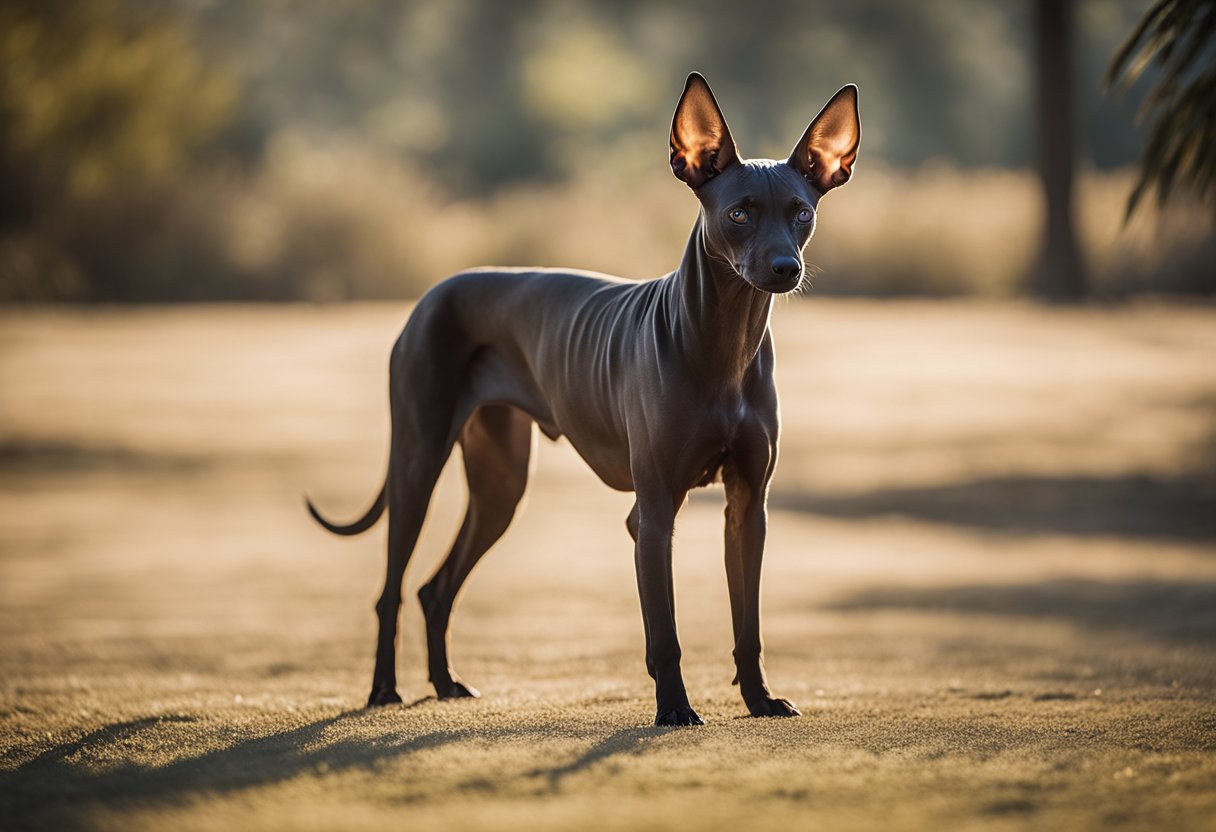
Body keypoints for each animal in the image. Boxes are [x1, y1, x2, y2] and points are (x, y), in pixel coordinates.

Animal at [308, 72, 860, 729]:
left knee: (434, 587)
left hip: (501, 487)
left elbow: (746, 624)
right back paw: (384, 689)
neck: (725, 344)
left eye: (801, 212)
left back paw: (444, 683)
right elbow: (664, 631)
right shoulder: (652, 513)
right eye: (739, 213)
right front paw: (675, 708)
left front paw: (758, 699)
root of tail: (435, 293)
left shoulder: (749, 507)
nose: (784, 267)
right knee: (391, 587)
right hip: (418, 464)